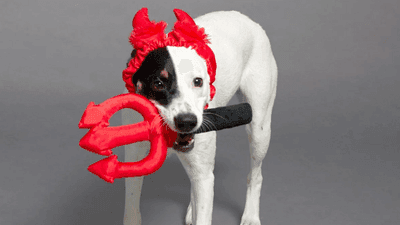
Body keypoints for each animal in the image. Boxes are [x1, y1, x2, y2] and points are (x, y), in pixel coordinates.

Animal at [122, 9, 278, 225]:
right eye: (158, 83)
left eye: (198, 81)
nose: (187, 121)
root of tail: (242, 16)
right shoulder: (134, 165)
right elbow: (131, 208)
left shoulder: (204, 176)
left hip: (259, 129)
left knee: (256, 175)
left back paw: (251, 216)